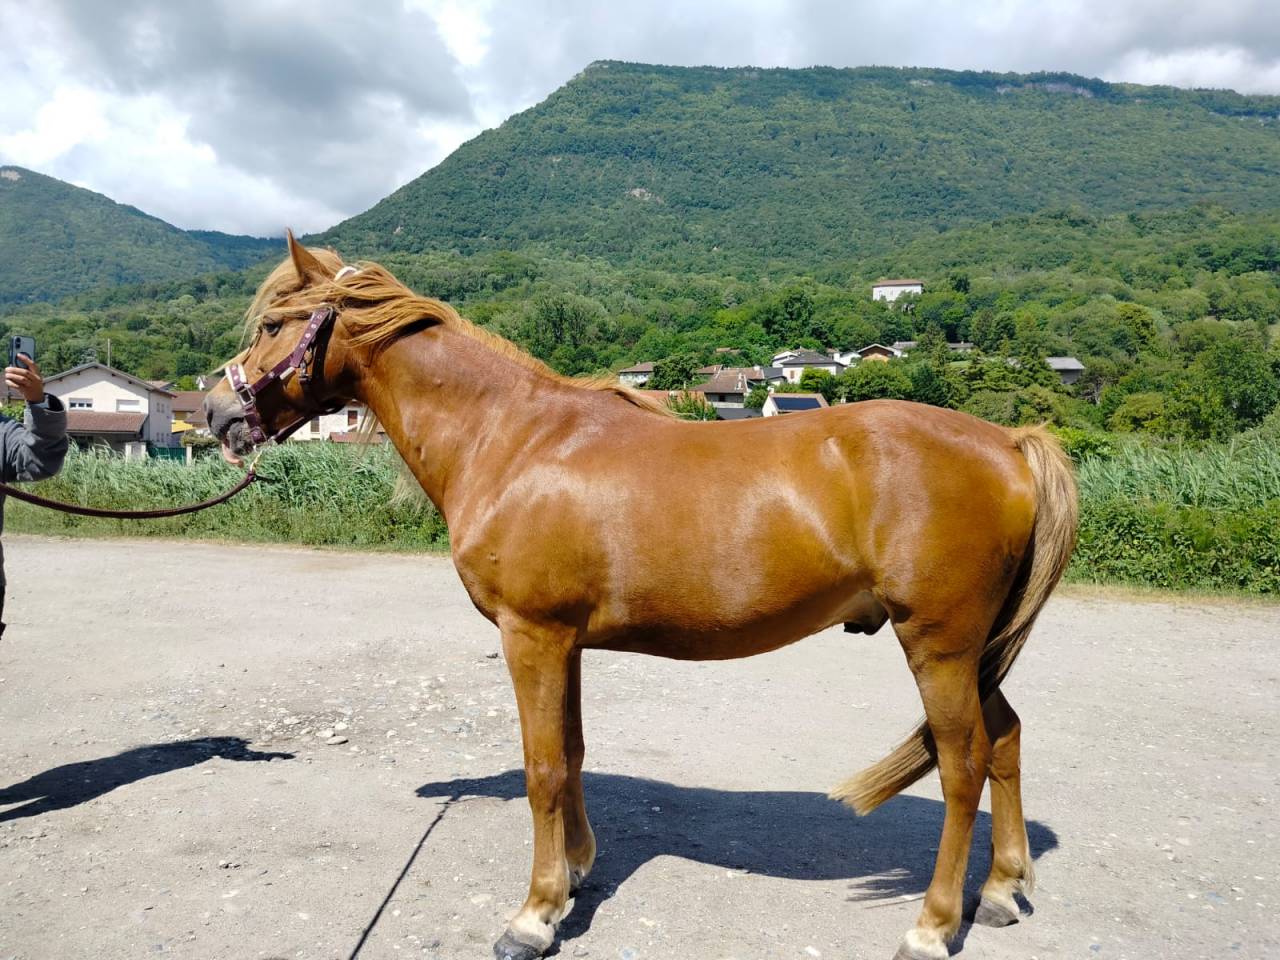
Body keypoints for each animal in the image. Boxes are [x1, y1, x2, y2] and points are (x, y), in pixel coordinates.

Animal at [205, 235, 1078, 960]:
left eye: (276, 323)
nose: (216, 411)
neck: (512, 440)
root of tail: (1009, 442)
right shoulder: (564, 641)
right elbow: (572, 754)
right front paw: (573, 879)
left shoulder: (531, 636)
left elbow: (542, 769)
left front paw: (532, 918)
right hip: (972, 652)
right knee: (1006, 738)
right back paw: (1002, 891)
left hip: (938, 645)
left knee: (964, 764)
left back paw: (933, 926)